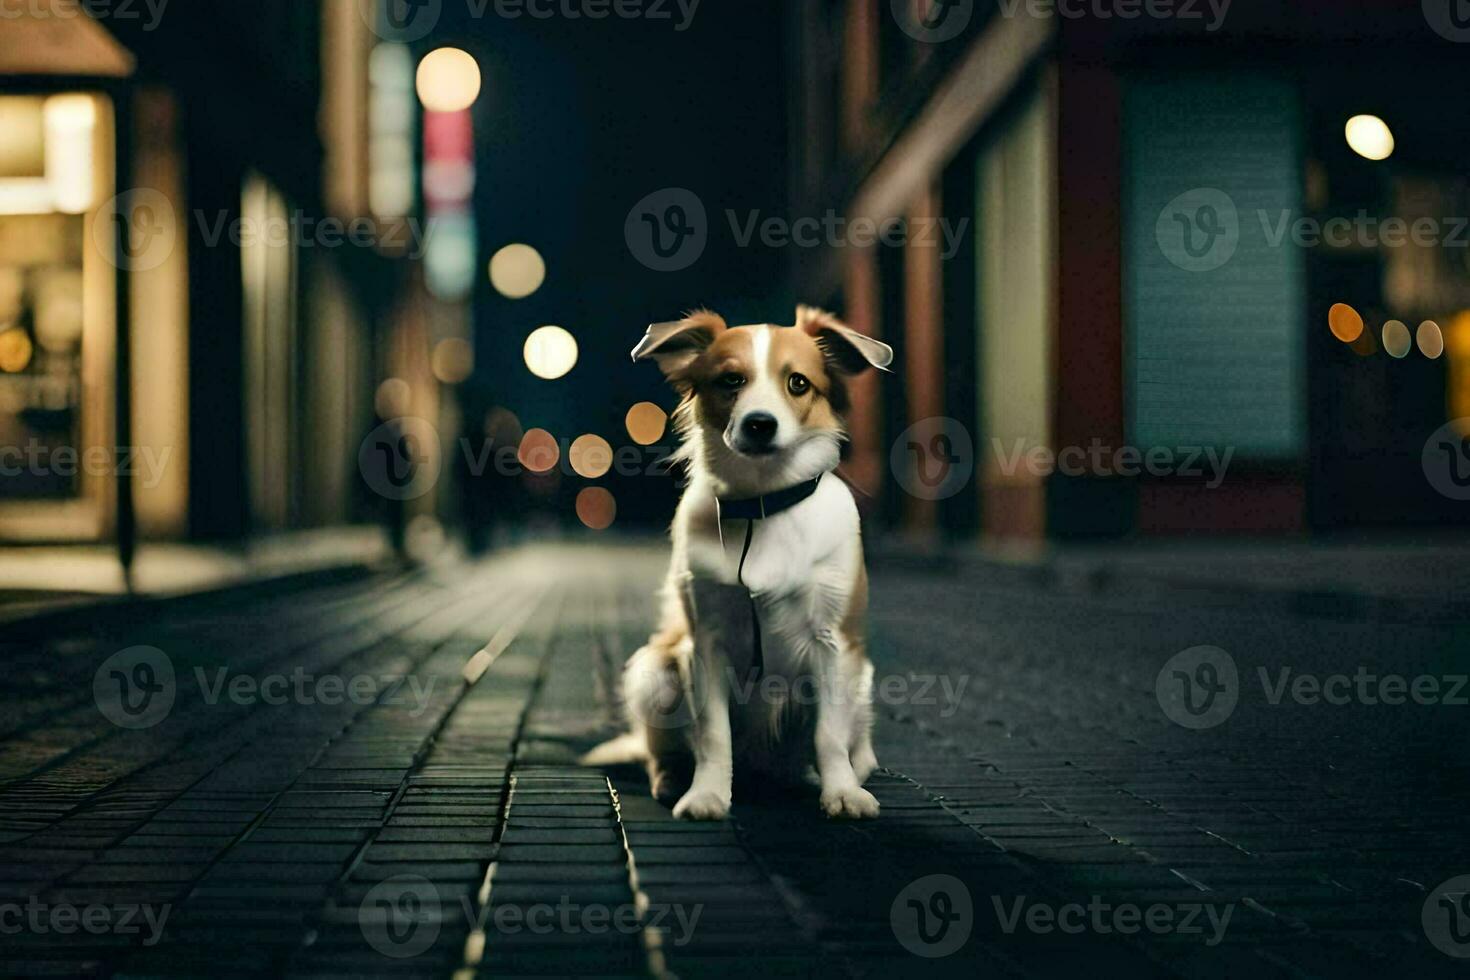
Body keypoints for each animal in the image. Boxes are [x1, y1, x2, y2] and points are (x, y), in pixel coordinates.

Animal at [585, 307, 893, 822]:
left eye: (797, 383)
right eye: (731, 380)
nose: (759, 424)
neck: (762, 504)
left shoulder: (834, 643)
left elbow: (829, 735)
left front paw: (842, 792)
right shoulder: (704, 645)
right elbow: (712, 736)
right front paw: (707, 795)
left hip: (863, 681)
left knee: (851, 745)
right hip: (654, 670)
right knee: (659, 750)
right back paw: (672, 778)